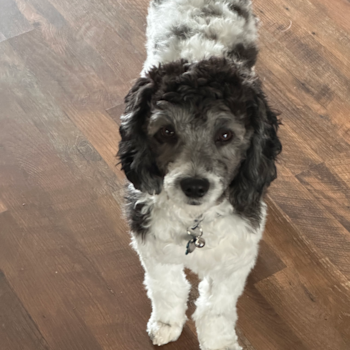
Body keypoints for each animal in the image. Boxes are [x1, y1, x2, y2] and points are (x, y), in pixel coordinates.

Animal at [117, 1, 282, 348]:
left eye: (225, 135)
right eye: (166, 132)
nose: (194, 186)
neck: (195, 222)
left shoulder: (234, 259)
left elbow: (215, 309)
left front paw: (219, 342)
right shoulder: (153, 247)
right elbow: (167, 288)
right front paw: (166, 323)